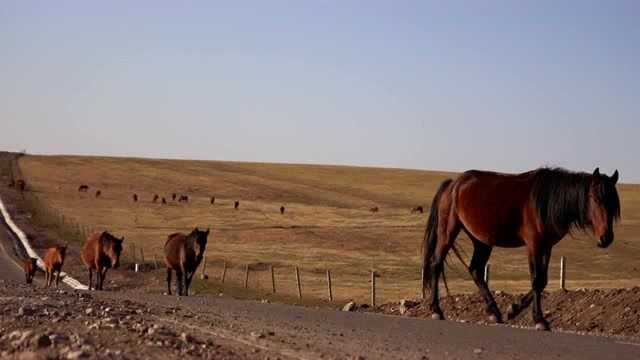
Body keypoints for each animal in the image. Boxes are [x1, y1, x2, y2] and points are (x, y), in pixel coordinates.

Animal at [420, 167, 620, 330]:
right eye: (595, 198)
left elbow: (543, 281)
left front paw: (513, 309)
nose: (606, 238)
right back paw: (437, 310)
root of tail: (452, 184)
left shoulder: (546, 246)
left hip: (481, 241)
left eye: (613, 203)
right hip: (448, 232)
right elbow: (536, 280)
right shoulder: (534, 245)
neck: (546, 201)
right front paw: (539, 319)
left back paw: (494, 312)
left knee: (476, 269)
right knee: (436, 264)